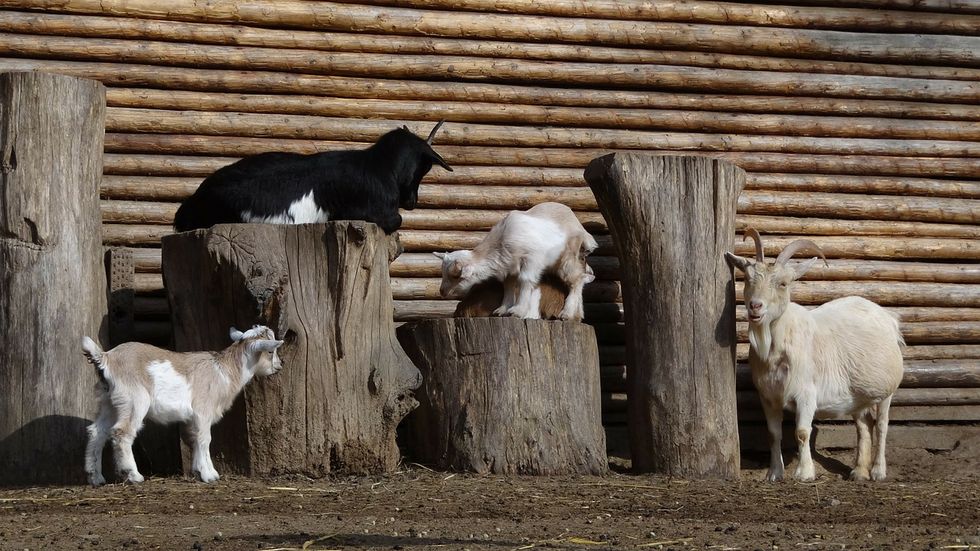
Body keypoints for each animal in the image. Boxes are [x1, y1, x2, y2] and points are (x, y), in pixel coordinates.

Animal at [81, 326, 285, 486]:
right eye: (270, 351)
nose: (279, 366)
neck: (224, 371)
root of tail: (106, 358)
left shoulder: (195, 417)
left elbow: (193, 439)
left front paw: (199, 471)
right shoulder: (203, 410)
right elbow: (205, 439)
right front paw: (209, 475)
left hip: (109, 402)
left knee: (97, 431)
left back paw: (95, 477)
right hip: (134, 400)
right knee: (122, 432)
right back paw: (133, 475)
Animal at [435, 202, 596, 321]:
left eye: (455, 276)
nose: (442, 292)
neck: (500, 242)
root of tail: (576, 221)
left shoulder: (531, 259)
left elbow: (525, 280)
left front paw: (517, 311)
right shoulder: (509, 266)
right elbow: (508, 285)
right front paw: (502, 310)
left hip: (567, 257)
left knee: (577, 280)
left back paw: (567, 314)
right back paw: (577, 314)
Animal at [725, 229, 904, 482]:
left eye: (783, 283)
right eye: (748, 279)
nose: (755, 306)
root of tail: (890, 319)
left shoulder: (806, 393)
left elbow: (801, 432)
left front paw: (804, 473)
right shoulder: (768, 396)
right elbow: (773, 434)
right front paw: (774, 473)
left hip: (887, 389)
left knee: (881, 424)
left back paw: (878, 471)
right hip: (858, 394)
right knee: (863, 425)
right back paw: (859, 471)